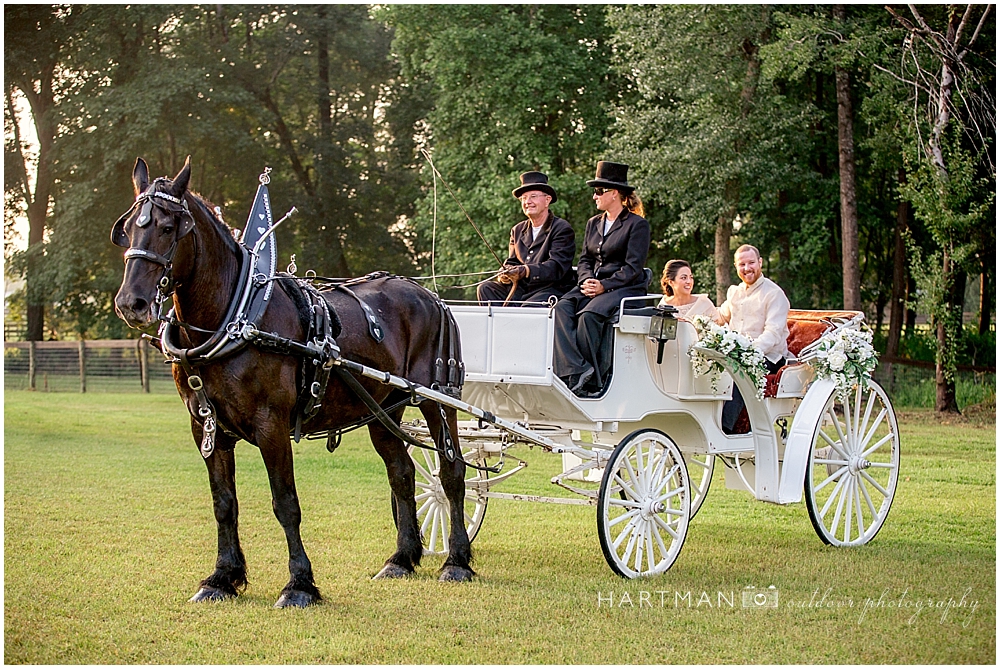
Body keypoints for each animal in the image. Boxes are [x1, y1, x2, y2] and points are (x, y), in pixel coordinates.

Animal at [113, 157, 472, 604]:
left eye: (167, 227)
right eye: (127, 228)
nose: (131, 303)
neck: (236, 316)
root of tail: (433, 298)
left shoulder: (271, 425)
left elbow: (285, 504)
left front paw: (300, 583)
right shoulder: (206, 428)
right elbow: (223, 504)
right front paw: (221, 577)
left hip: (437, 401)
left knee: (452, 473)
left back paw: (456, 560)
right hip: (383, 408)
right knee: (402, 474)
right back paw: (401, 558)